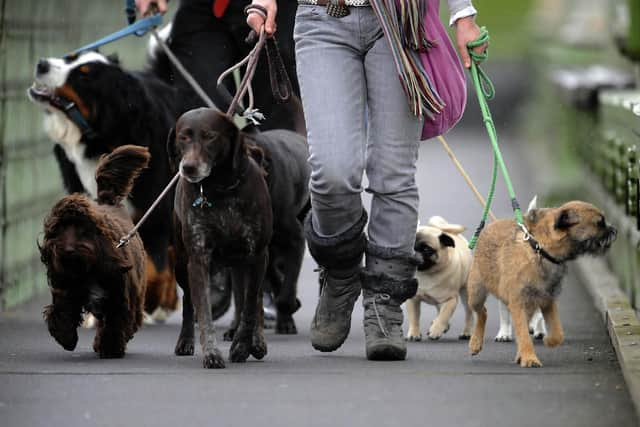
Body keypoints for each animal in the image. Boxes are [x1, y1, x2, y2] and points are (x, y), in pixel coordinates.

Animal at [39, 145, 150, 360]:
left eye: (83, 229)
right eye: (59, 229)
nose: (68, 249)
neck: (87, 269)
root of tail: (109, 202)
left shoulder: (119, 297)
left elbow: (115, 324)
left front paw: (110, 348)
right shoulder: (67, 288)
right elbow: (61, 311)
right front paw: (66, 337)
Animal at [169, 108, 272, 368]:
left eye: (210, 136)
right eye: (183, 137)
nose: (188, 168)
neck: (220, 187)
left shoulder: (257, 255)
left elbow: (250, 306)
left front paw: (243, 345)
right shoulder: (198, 258)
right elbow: (203, 311)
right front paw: (212, 353)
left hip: (246, 263)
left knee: (254, 299)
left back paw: (258, 341)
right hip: (181, 264)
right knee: (188, 302)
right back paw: (185, 340)